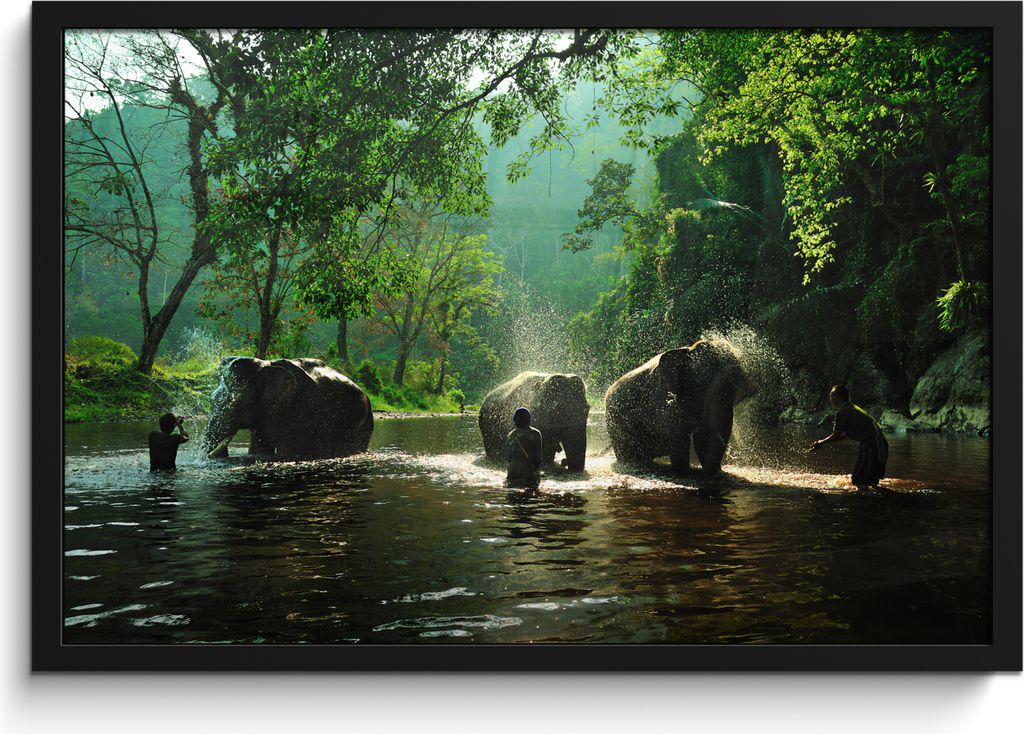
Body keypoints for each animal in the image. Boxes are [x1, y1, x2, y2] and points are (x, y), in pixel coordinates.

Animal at [203, 356, 373, 460]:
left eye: (236, 403)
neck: (266, 364)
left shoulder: (302, 407)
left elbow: (289, 452)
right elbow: (259, 448)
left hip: (360, 422)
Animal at [604, 339, 754, 475]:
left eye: (736, 389)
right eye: (703, 381)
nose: (716, 471)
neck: (689, 349)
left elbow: (703, 435)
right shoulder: (663, 398)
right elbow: (678, 436)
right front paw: (683, 472)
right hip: (616, 420)